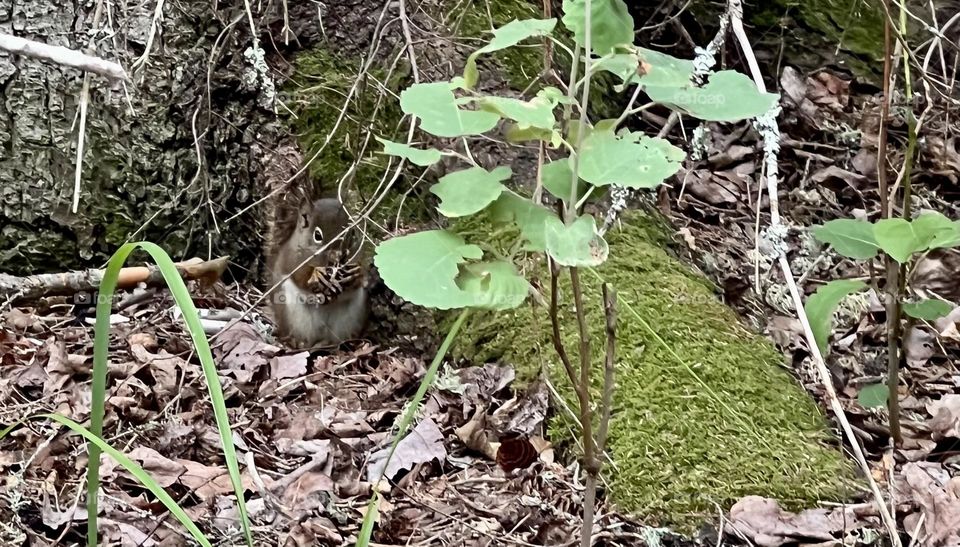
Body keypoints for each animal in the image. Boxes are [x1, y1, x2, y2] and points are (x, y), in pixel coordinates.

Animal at [267, 197, 369, 349]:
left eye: (353, 234)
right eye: (318, 235)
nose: (338, 255)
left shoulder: (360, 256)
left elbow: (362, 275)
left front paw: (356, 273)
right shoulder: (292, 258)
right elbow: (300, 275)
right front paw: (316, 274)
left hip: (352, 316)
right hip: (289, 311)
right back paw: (299, 342)